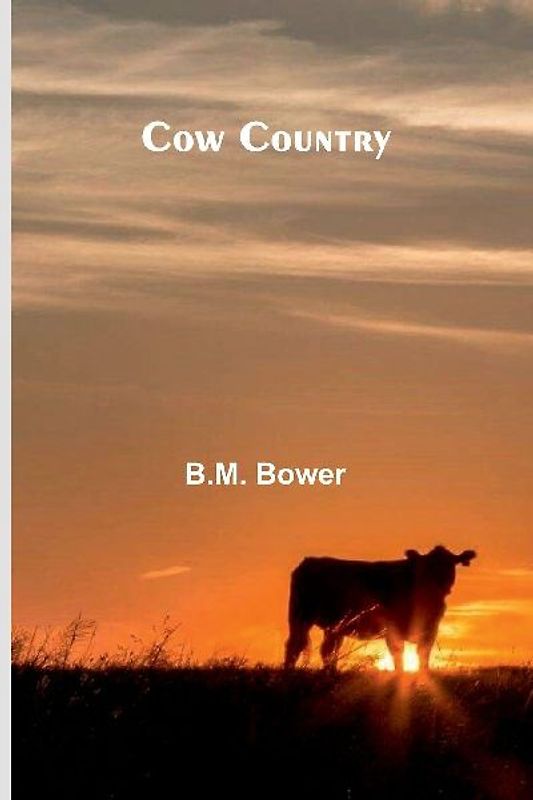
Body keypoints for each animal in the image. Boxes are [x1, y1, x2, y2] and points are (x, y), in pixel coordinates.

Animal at [284, 545, 477, 672]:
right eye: (427, 567)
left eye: (451, 564)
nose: (441, 585)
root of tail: (309, 561)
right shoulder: (393, 629)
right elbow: (398, 656)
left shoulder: (430, 630)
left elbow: (423, 657)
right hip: (300, 616)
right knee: (294, 646)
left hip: (334, 625)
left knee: (328, 650)